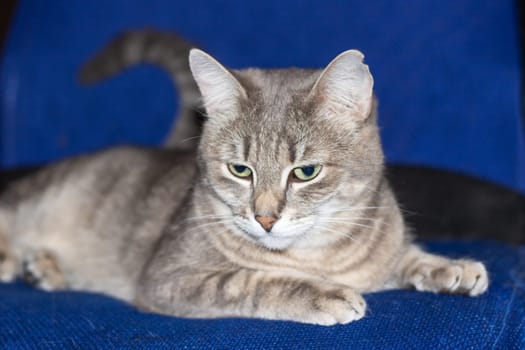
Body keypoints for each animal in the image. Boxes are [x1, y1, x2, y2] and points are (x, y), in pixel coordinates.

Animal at [0, 34, 488, 324]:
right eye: (240, 169)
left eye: (305, 172)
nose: (265, 218)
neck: (320, 255)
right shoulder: (170, 277)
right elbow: (249, 281)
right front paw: (323, 294)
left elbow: (406, 257)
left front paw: (450, 267)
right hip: (38, 199)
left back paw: (43, 268)